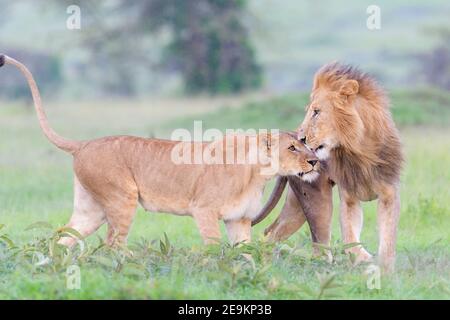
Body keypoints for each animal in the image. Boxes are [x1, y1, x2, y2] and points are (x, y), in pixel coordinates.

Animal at [0, 53, 320, 246]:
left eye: (304, 143)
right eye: (292, 147)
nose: (315, 161)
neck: (259, 174)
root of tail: (84, 143)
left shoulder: (238, 219)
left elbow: (244, 253)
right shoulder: (204, 209)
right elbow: (213, 247)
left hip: (90, 209)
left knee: (64, 237)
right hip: (122, 198)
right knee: (112, 244)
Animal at [253, 63, 404, 272]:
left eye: (316, 112)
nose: (301, 139)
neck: (359, 149)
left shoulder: (389, 194)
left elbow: (388, 239)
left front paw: (386, 271)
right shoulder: (349, 198)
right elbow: (349, 237)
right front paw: (364, 260)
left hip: (297, 204)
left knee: (271, 232)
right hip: (315, 197)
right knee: (319, 246)